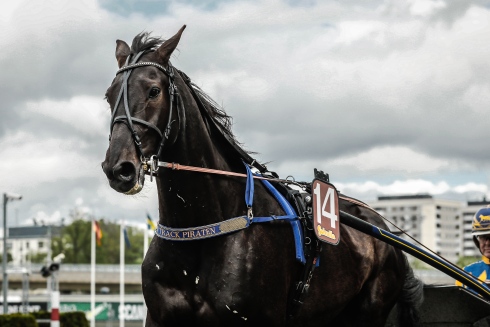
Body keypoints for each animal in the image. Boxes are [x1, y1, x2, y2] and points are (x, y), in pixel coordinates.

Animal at [101, 25, 424, 327]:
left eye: (154, 91)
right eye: (109, 96)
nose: (118, 168)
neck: (200, 231)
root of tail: (384, 230)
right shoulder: (158, 316)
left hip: (370, 310)